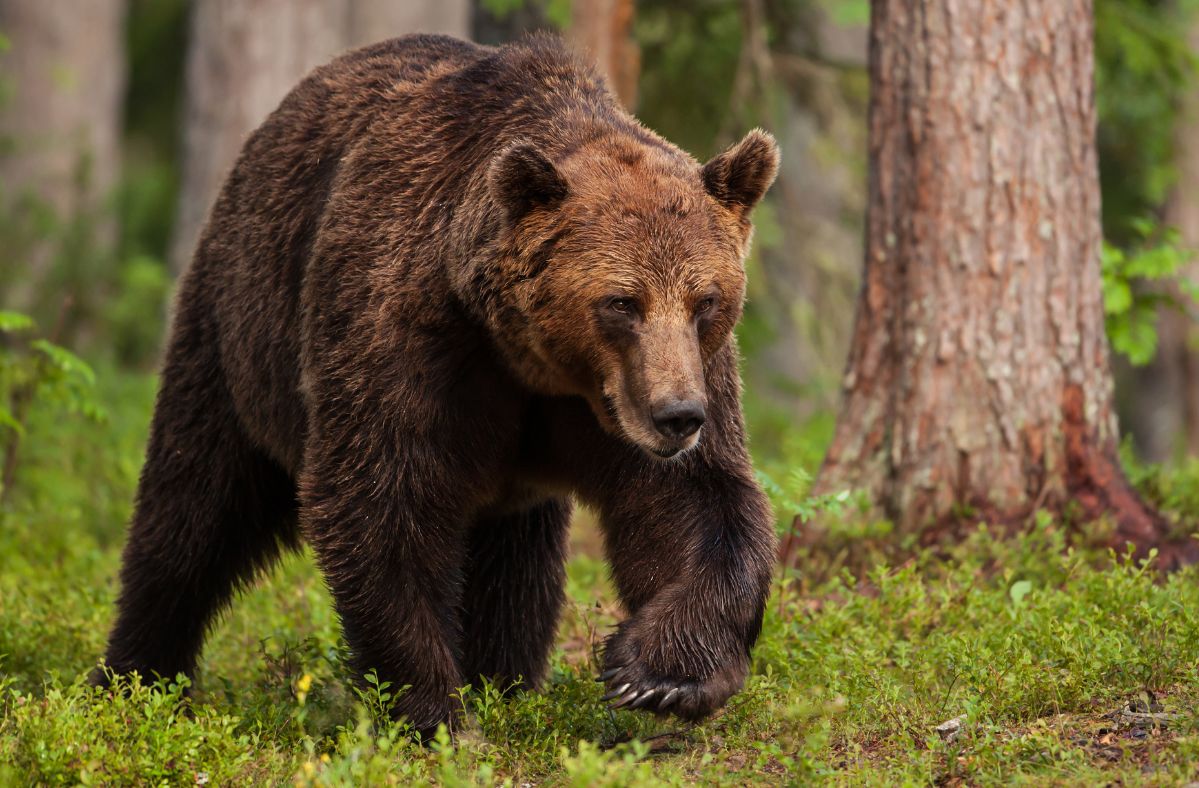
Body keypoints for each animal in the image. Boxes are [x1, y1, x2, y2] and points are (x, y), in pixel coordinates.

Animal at [100, 33, 776, 734]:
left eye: (705, 300)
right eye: (621, 302)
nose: (678, 416)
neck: (526, 358)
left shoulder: (637, 395)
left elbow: (694, 503)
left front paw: (658, 675)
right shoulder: (406, 339)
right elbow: (380, 500)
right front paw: (432, 709)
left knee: (517, 565)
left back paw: (505, 679)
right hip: (240, 333)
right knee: (191, 509)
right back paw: (137, 678)